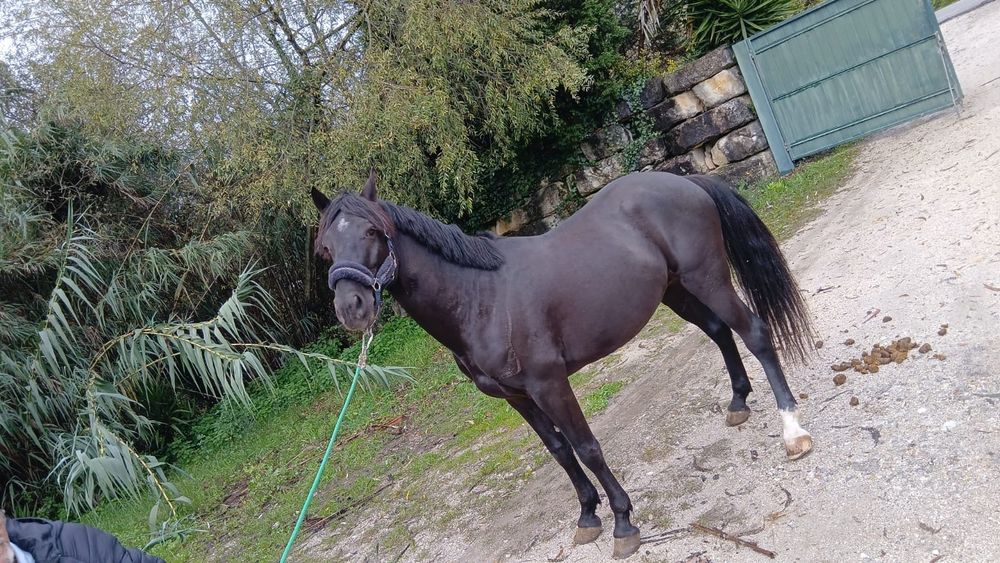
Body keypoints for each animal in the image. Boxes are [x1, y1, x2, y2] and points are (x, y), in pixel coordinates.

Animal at [310, 169, 814, 559]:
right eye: (326, 249)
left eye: (372, 232)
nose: (352, 308)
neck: (479, 298)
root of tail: (683, 180)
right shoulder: (516, 397)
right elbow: (558, 450)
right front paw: (587, 514)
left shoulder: (549, 384)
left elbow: (586, 446)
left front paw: (623, 522)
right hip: (676, 290)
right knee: (719, 333)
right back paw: (738, 402)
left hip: (708, 279)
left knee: (755, 334)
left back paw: (793, 430)